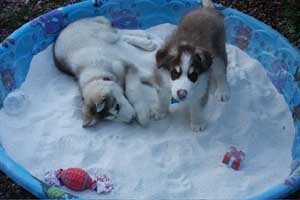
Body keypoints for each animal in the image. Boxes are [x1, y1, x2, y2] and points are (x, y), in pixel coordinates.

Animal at [155, 0, 230, 131]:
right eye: (174, 74)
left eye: (194, 76)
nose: (182, 94)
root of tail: (207, 9)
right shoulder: (162, 81)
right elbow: (163, 98)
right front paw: (160, 112)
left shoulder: (202, 87)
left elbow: (197, 108)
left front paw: (197, 123)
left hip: (218, 55)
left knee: (221, 72)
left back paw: (222, 91)